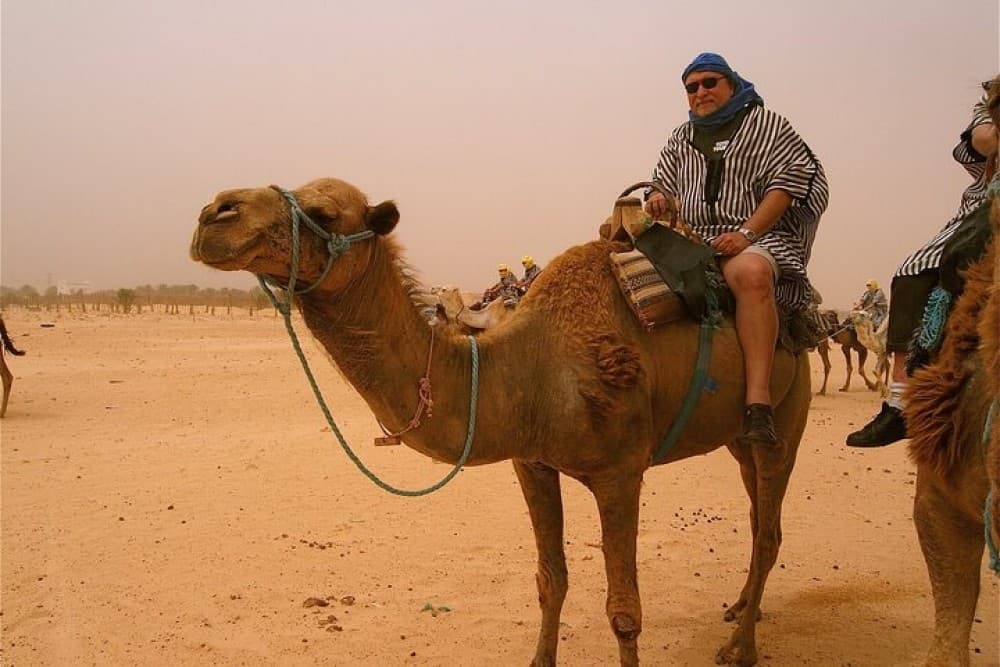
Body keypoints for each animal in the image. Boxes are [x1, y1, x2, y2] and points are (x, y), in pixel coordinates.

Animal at [190, 178, 814, 667]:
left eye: (323, 214)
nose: (215, 213)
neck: (530, 366)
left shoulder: (619, 473)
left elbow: (624, 612)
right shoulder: (531, 464)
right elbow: (550, 582)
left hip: (786, 416)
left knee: (769, 529)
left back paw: (740, 647)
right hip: (735, 440)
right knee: (758, 515)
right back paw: (740, 607)